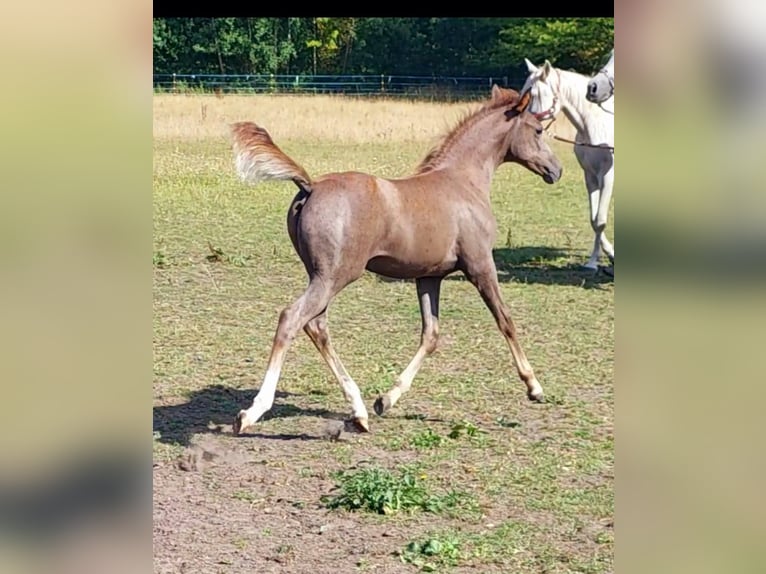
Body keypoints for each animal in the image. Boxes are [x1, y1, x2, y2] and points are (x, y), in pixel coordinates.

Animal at [227, 86, 563, 436]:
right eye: (538, 130)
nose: (556, 170)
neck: (462, 181)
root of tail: (311, 185)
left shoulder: (429, 276)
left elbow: (431, 334)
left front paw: (386, 400)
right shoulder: (480, 265)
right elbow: (505, 320)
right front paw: (534, 386)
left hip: (320, 275)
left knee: (316, 326)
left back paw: (359, 412)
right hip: (334, 276)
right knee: (292, 319)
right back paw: (252, 412)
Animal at [522, 58, 615, 271]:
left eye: (535, 94)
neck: (595, 126)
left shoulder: (608, 176)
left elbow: (601, 220)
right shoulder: (590, 176)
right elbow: (594, 220)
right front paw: (598, 259)